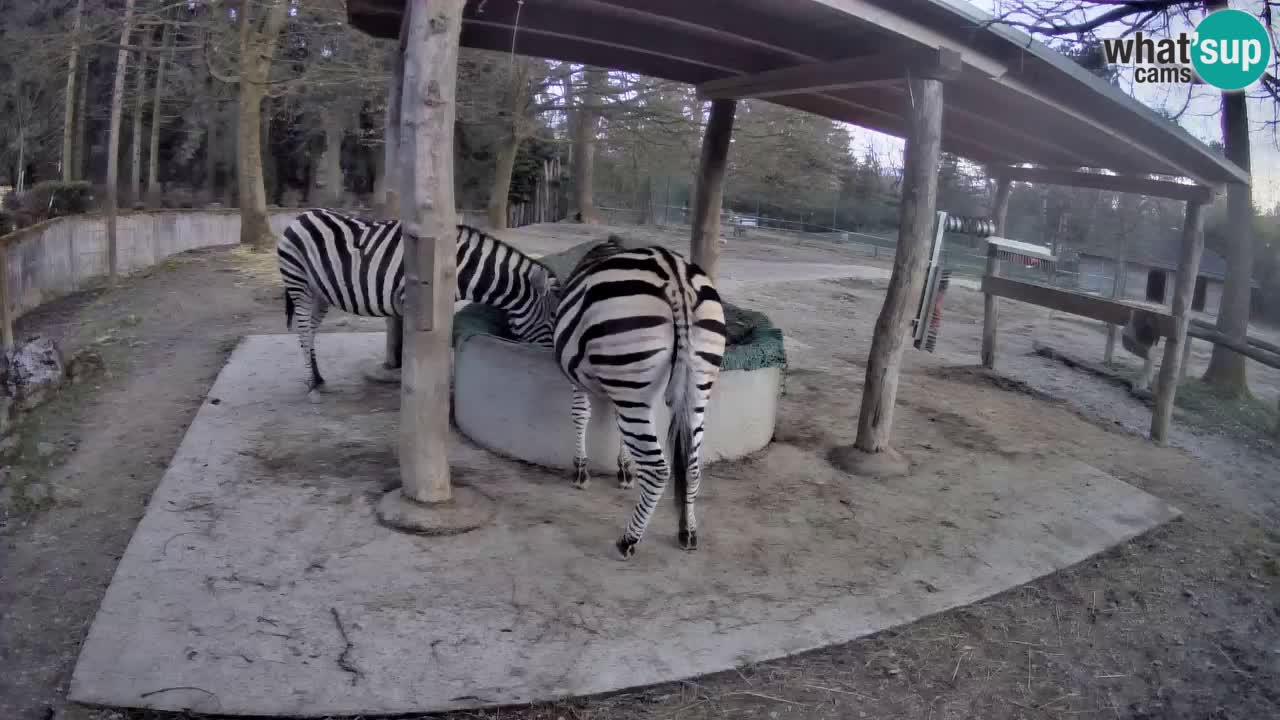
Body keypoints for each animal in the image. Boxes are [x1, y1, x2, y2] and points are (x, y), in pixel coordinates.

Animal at [276, 208, 560, 396]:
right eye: (551, 319)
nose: (551, 360)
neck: (458, 267)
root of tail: (300, 216)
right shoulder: (409, 299)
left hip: (320, 292)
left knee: (310, 330)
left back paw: (318, 377)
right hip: (298, 281)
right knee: (304, 330)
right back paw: (312, 383)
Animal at [553, 239, 727, 559]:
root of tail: (676, 278)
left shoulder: (580, 378)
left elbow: (580, 414)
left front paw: (581, 469)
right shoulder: (627, 391)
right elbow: (618, 428)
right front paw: (624, 469)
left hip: (630, 372)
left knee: (658, 470)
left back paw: (629, 539)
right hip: (695, 386)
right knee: (692, 466)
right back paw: (688, 531)